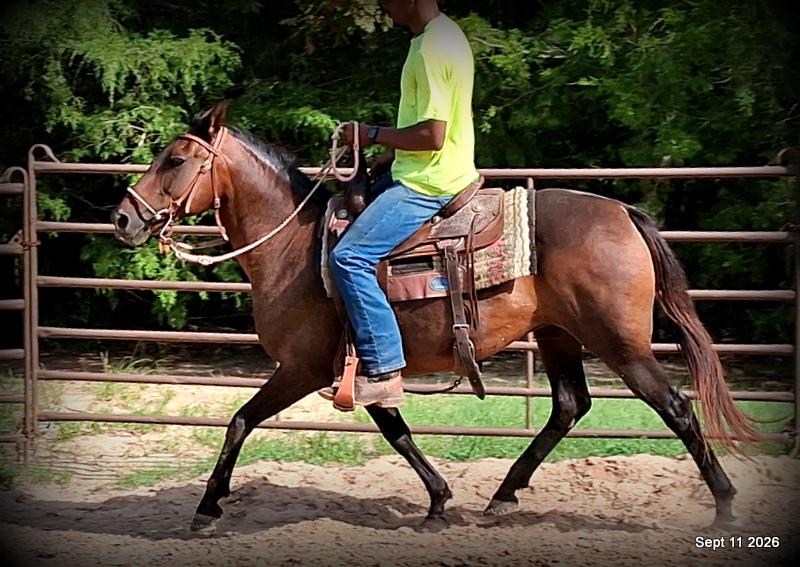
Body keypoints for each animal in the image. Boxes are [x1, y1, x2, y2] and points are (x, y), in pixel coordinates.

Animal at [111, 102, 757, 532]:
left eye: (174, 159)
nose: (123, 218)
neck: (295, 246)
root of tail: (623, 211)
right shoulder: (367, 363)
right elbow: (394, 429)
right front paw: (440, 500)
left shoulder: (304, 367)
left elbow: (240, 421)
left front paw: (207, 507)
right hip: (557, 336)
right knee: (569, 407)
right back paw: (502, 496)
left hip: (620, 344)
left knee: (675, 408)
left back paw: (725, 506)